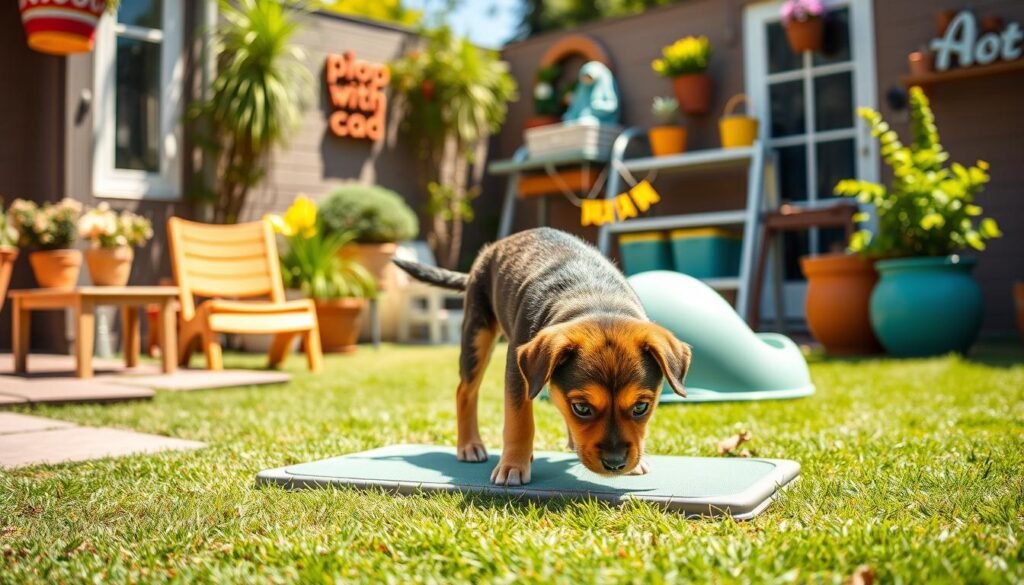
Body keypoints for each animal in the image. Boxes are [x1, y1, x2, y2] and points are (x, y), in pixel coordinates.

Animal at [391, 226, 688, 487]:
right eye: (582, 408)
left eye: (641, 408)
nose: (615, 464)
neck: (596, 300)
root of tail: (490, 251)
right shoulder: (517, 372)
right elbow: (519, 420)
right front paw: (512, 466)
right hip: (477, 334)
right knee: (465, 391)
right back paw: (469, 445)